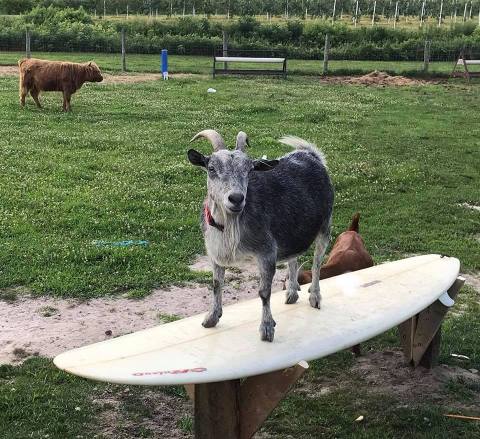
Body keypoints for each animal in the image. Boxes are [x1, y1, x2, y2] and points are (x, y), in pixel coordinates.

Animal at [188, 129, 334, 342]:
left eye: (249, 170)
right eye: (212, 168)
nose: (236, 198)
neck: (230, 227)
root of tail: (310, 155)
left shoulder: (266, 252)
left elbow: (264, 292)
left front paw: (267, 328)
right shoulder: (214, 253)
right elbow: (216, 284)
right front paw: (211, 318)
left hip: (324, 226)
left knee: (317, 263)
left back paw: (315, 297)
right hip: (293, 232)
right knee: (294, 259)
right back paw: (292, 294)